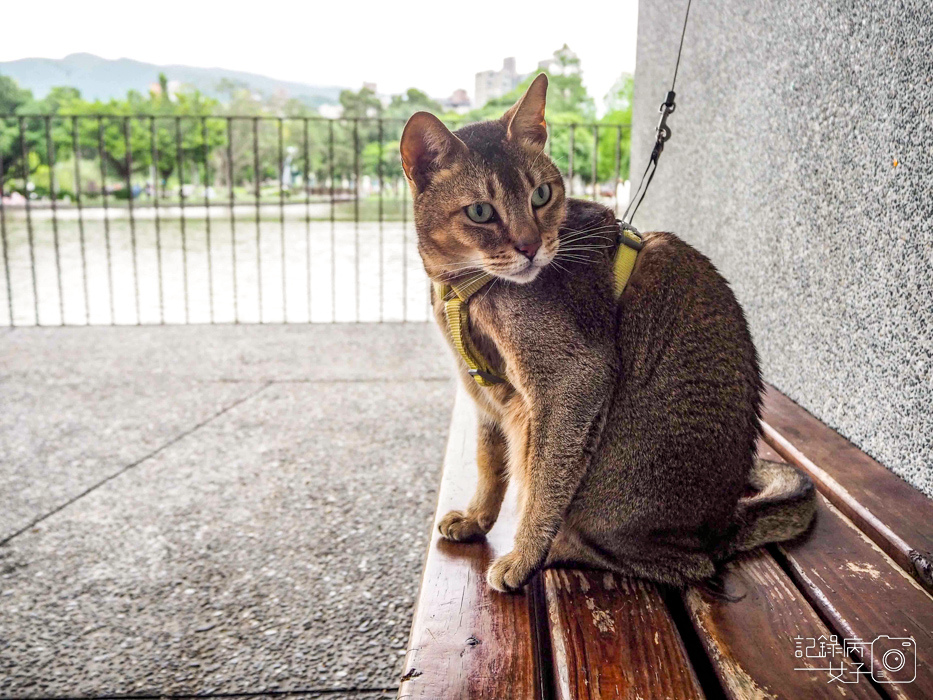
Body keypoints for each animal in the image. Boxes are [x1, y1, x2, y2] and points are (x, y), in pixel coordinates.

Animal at [400, 75, 816, 592]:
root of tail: (726, 521)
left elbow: (542, 482)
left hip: (617, 458)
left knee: (692, 564)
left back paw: (564, 549)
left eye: (542, 195)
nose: (531, 247)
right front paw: (477, 519)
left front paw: (524, 554)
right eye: (480, 211)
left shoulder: (573, 379)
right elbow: (488, 463)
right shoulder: (486, 392)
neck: (464, 288)